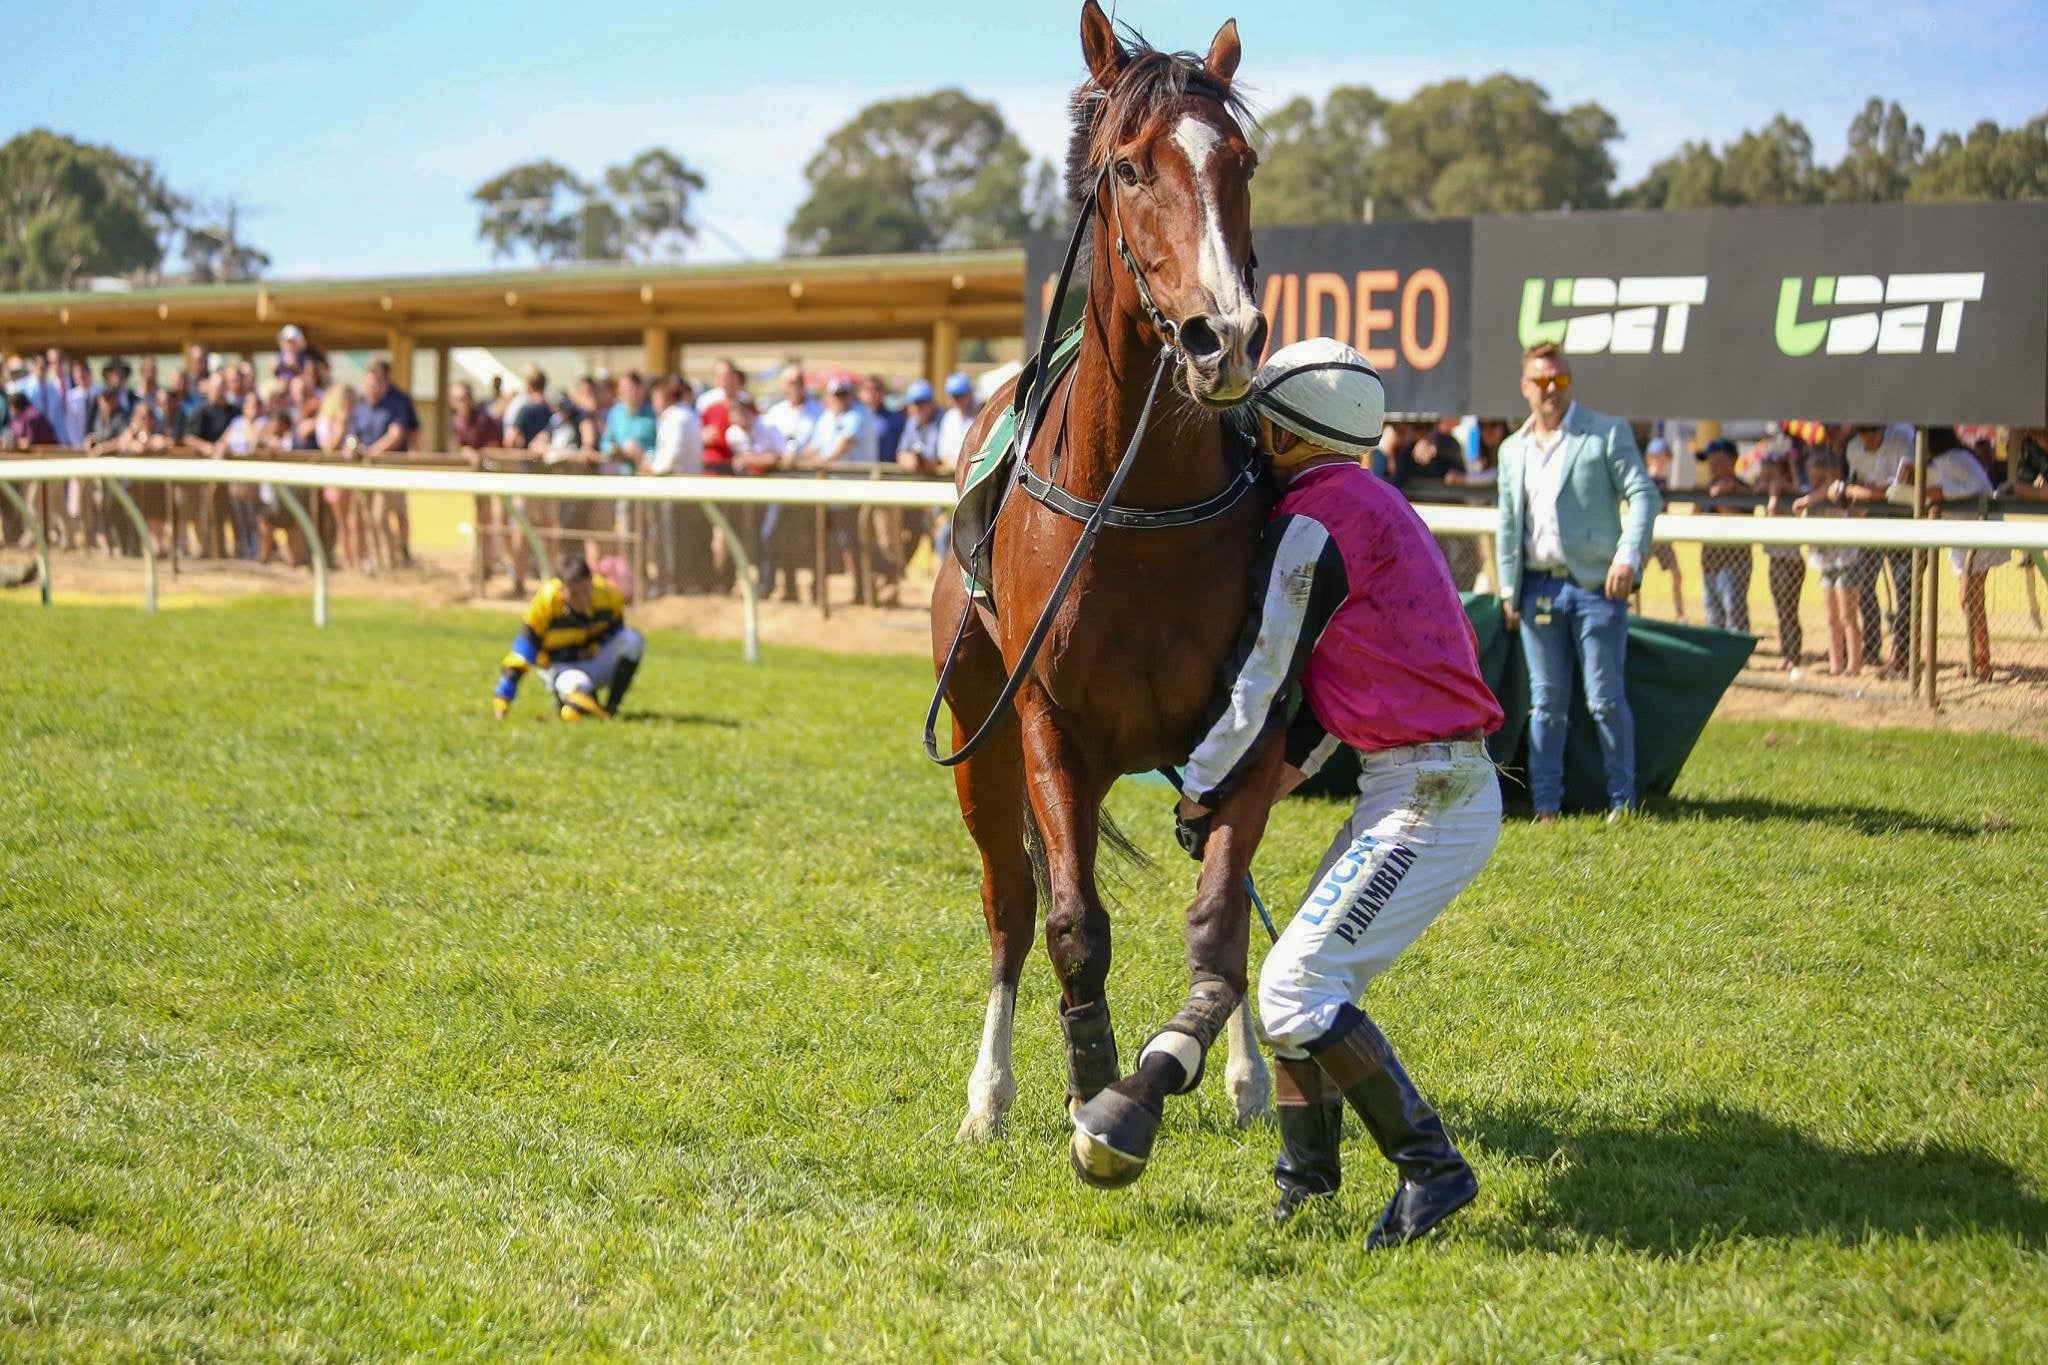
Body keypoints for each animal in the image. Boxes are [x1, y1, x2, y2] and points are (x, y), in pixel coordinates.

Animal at [931, 2, 1289, 1183]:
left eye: (1240, 162)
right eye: (1131, 167)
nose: (1224, 336)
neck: (1135, 501)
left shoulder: (1250, 724)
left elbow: (1219, 916)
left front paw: (1192, 1068)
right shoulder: (1046, 722)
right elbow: (1071, 923)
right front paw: (1092, 1091)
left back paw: (1245, 1077)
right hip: (979, 726)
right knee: (1010, 902)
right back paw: (991, 1094)